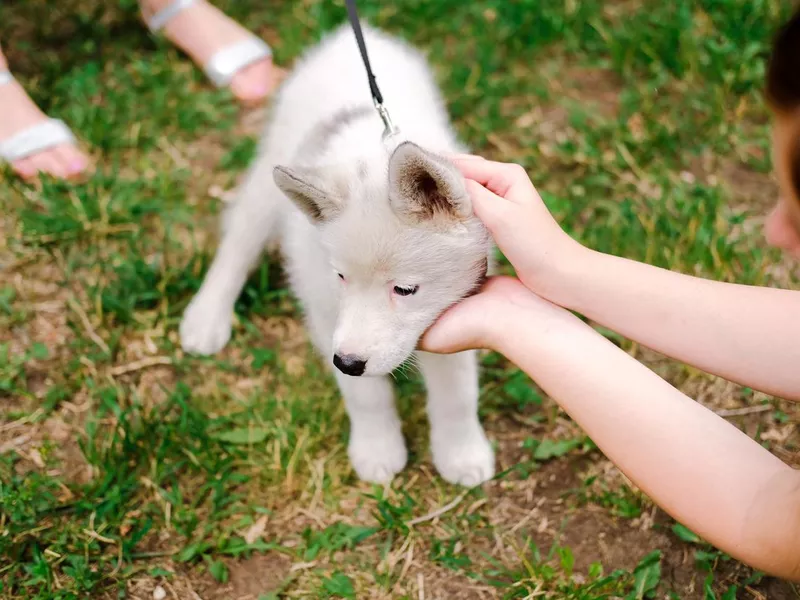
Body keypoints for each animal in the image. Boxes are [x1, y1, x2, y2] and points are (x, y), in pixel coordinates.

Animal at [180, 22, 494, 488]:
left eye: (405, 289)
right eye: (341, 277)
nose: (346, 362)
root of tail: (351, 38)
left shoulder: (451, 313)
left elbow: (457, 393)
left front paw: (461, 452)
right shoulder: (328, 312)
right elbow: (366, 397)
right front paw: (377, 449)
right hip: (269, 177)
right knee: (237, 241)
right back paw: (206, 317)